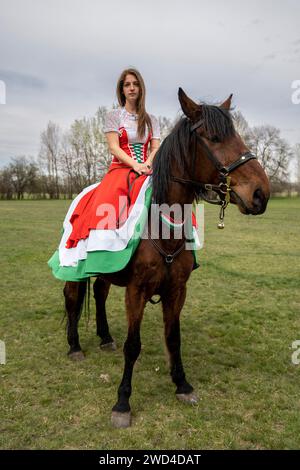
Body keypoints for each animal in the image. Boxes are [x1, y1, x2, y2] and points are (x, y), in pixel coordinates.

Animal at [63, 86, 270, 428]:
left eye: (238, 135)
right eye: (214, 137)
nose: (261, 193)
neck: (162, 228)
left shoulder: (176, 290)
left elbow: (174, 338)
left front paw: (182, 385)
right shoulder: (136, 291)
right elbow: (133, 346)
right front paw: (122, 403)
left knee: (100, 293)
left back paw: (104, 338)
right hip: (73, 270)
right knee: (72, 300)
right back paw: (75, 347)